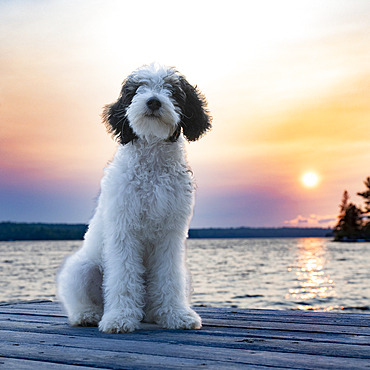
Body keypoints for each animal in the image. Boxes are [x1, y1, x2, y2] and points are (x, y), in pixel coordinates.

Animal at [55, 65, 211, 334]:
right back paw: (88, 315)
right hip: (82, 269)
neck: (153, 162)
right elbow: (124, 277)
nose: (153, 101)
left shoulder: (171, 234)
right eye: (138, 89)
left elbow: (169, 278)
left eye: (172, 91)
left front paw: (176, 315)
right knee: (83, 299)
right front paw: (119, 318)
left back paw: (154, 314)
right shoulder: (124, 229)